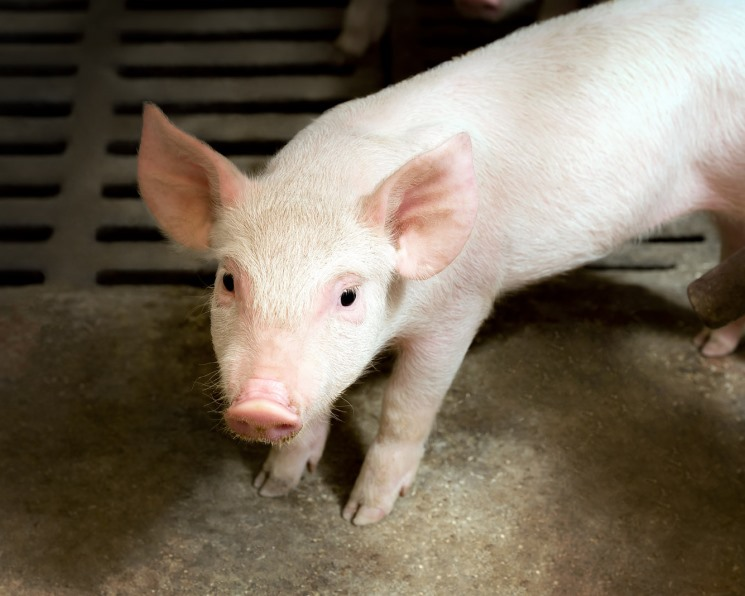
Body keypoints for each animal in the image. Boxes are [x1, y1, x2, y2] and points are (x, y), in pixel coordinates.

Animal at [137, 0, 745, 525]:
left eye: (349, 295)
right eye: (228, 281)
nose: (260, 405)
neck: (324, 182)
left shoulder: (461, 307)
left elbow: (407, 407)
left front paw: (362, 516)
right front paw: (272, 487)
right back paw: (708, 345)